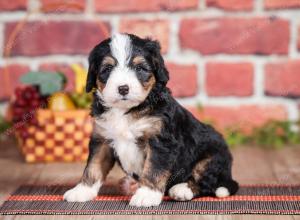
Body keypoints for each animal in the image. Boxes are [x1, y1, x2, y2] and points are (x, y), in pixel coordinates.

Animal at [63, 33, 239, 207]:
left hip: (213, 156)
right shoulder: (102, 139)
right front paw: (82, 191)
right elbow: (93, 166)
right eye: (107, 69)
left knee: (207, 183)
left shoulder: (160, 141)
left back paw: (182, 189)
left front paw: (146, 195)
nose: (123, 88)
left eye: (140, 68)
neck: (126, 110)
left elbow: (153, 169)